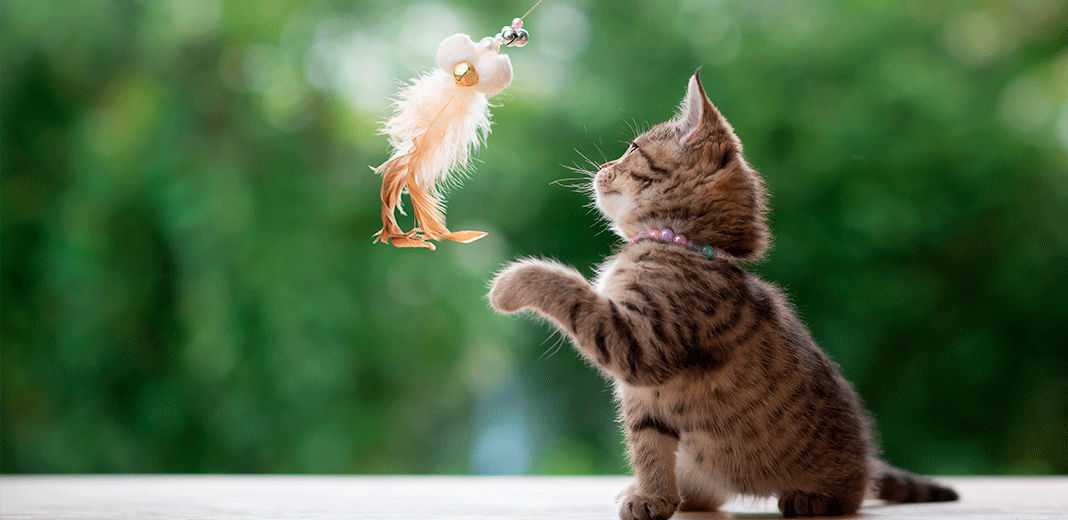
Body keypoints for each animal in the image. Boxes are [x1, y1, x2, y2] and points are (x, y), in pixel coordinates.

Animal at [489, 71, 956, 518]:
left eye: (633, 149)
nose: (603, 165)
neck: (681, 242)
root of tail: (867, 460)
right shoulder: (646, 402)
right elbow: (649, 446)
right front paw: (653, 495)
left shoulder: (641, 344)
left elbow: (573, 292)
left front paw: (513, 282)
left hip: (839, 478)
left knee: (854, 494)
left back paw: (813, 497)